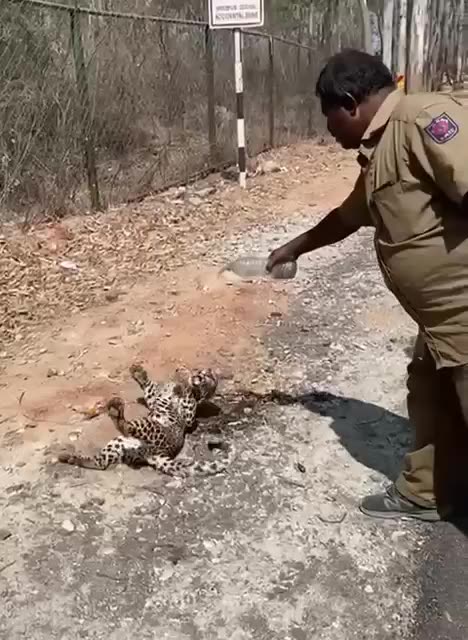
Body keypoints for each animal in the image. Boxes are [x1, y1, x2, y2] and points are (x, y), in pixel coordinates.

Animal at [58, 364, 232, 477]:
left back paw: (116, 411)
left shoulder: (188, 415)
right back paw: (70, 457)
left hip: (152, 428)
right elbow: (149, 388)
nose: (200, 375)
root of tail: (157, 453)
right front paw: (138, 371)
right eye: (202, 371)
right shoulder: (154, 397)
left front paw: (183, 378)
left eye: (209, 377)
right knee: (100, 462)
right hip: (119, 443)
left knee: (127, 426)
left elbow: (188, 398)